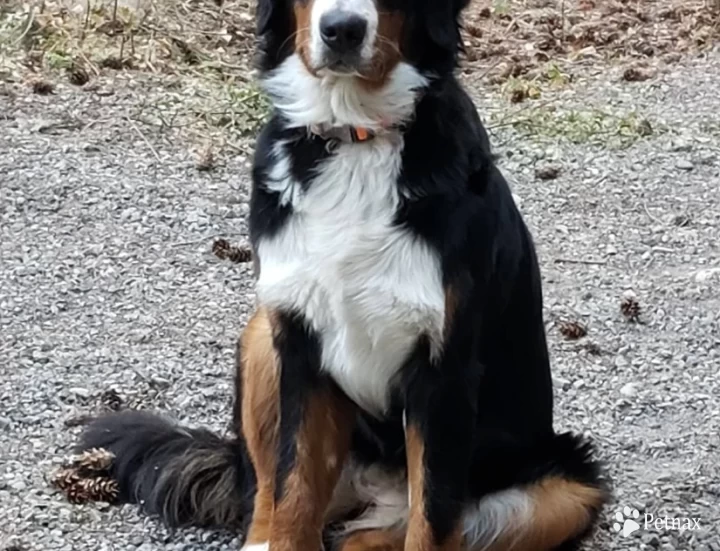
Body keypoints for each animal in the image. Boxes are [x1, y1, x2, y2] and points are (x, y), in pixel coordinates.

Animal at [77, 1, 608, 551]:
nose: (342, 30)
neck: (354, 139)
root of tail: (375, 492)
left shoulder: (444, 371)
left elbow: (434, 520)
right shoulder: (300, 343)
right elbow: (292, 491)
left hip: (566, 489)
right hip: (262, 333)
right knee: (264, 497)